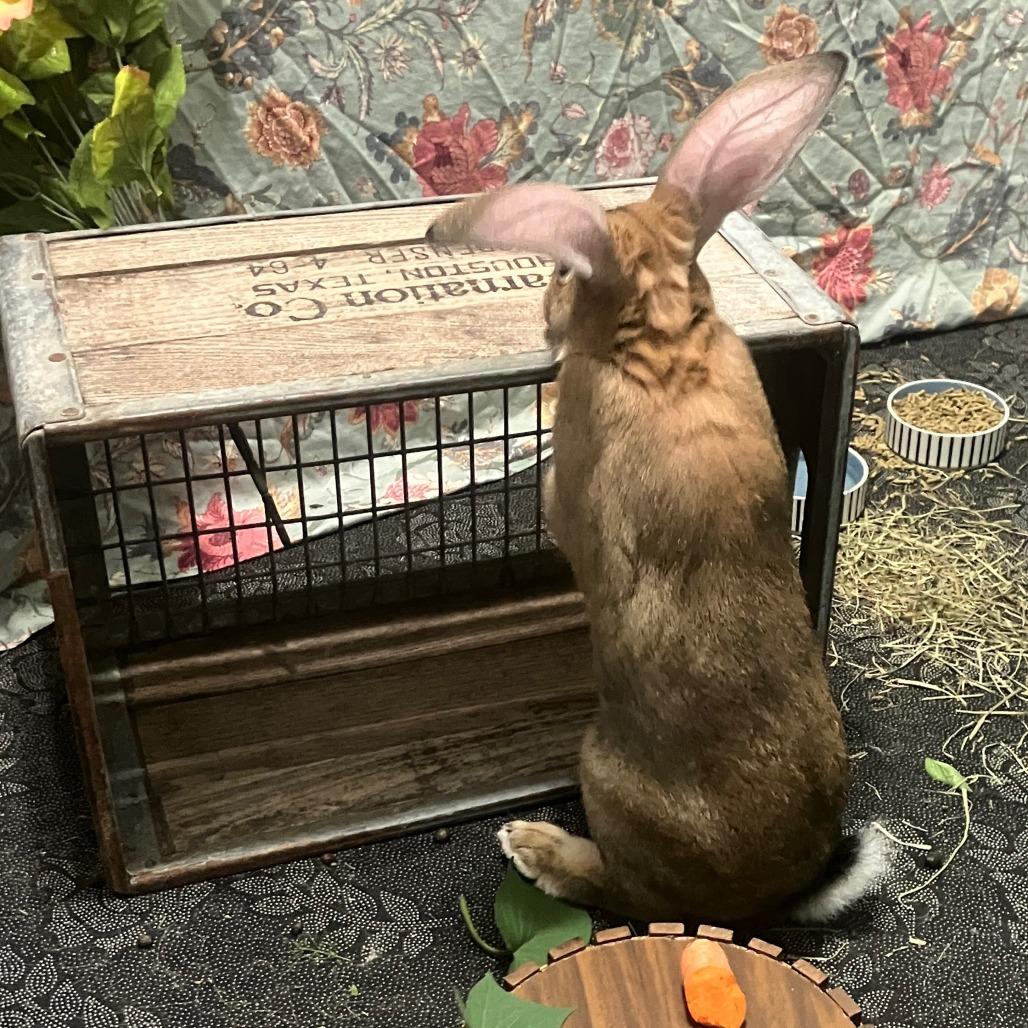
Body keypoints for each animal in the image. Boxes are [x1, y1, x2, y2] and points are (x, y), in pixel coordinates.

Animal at [425, 52, 886, 925]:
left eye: (562, 272)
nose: (545, 311)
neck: (664, 337)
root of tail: (770, 893)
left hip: (601, 774)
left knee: (619, 889)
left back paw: (535, 848)